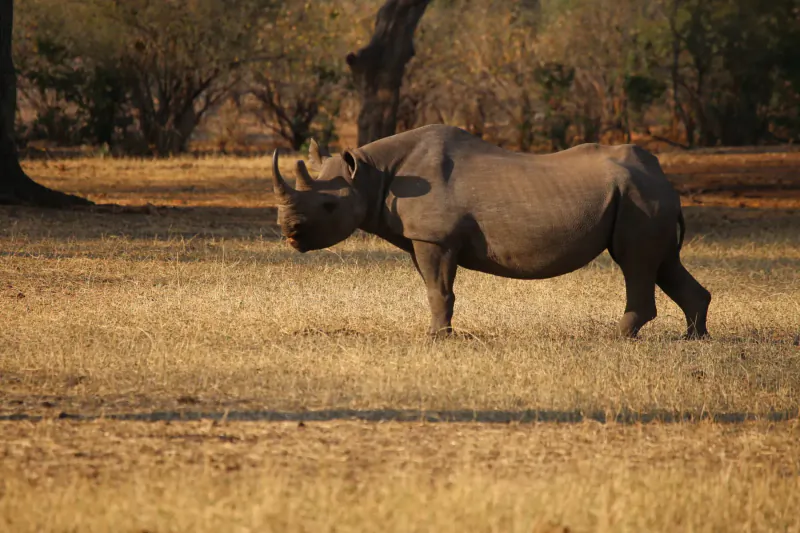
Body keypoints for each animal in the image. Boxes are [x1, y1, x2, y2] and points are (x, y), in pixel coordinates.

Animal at [272, 124, 710, 339]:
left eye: (329, 207)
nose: (289, 232)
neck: (372, 174)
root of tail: (664, 180)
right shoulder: (423, 240)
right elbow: (434, 288)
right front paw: (440, 333)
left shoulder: (435, 238)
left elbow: (439, 290)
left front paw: (437, 337)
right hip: (644, 195)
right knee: (662, 262)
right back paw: (693, 338)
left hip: (639, 197)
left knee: (635, 262)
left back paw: (618, 337)